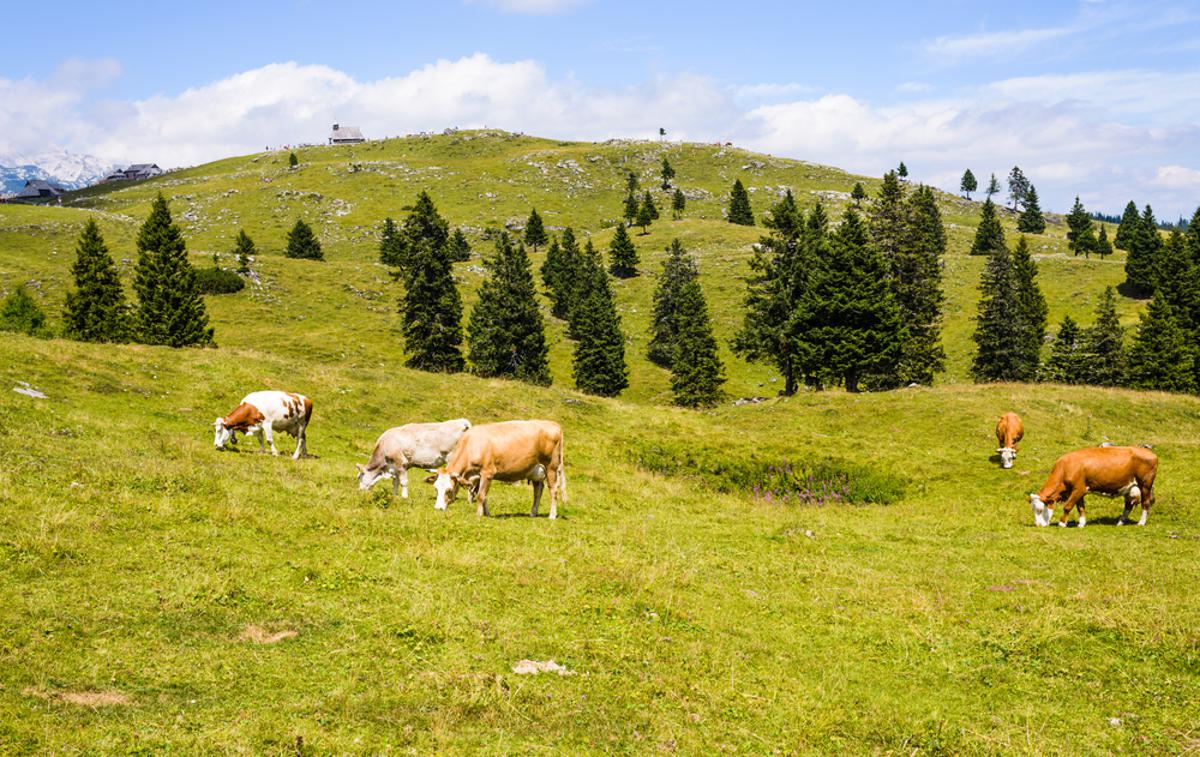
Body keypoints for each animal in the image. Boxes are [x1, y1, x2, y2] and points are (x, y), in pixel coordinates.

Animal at [427, 419, 566, 520]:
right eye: (436, 488)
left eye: (449, 490)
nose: (438, 508)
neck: (472, 445)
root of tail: (552, 423)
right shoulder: (479, 476)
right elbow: (483, 495)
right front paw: (486, 513)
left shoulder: (487, 473)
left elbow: (481, 496)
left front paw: (478, 516)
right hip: (536, 470)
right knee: (538, 491)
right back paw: (533, 513)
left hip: (551, 467)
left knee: (553, 489)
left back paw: (552, 515)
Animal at [1027, 443, 1156, 527]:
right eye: (1032, 509)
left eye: (1039, 510)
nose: (1038, 525)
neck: (1065, 468)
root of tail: (1150, 452)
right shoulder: (1079, 490)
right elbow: (1080, 507)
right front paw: (1081, 524)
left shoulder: (1078, 489)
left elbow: (1067, 506)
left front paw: (1062, 523)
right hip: (1130, 488)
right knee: (1128, 505)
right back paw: (1120, 523)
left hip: (1145, 485)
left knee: (1145, 503)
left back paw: (1141, 523)